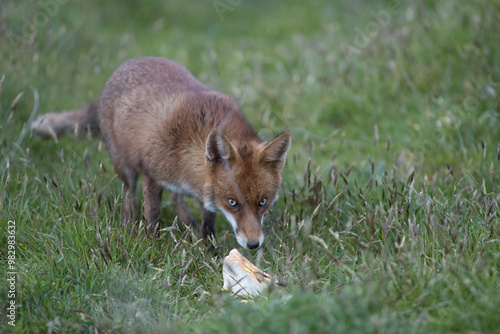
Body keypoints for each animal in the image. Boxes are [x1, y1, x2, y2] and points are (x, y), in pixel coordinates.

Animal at [33, 57, 292, 249]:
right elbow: (153, 217)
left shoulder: (204, 191)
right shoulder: (151, 176)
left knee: (177, 198)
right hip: (125, 167)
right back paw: (129, 226)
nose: (253, 245)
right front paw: (153, 247)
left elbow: (207, 224)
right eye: (232, 203)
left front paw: (210, 251)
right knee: (129, 196)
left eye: (263, 202)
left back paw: (188, 225)